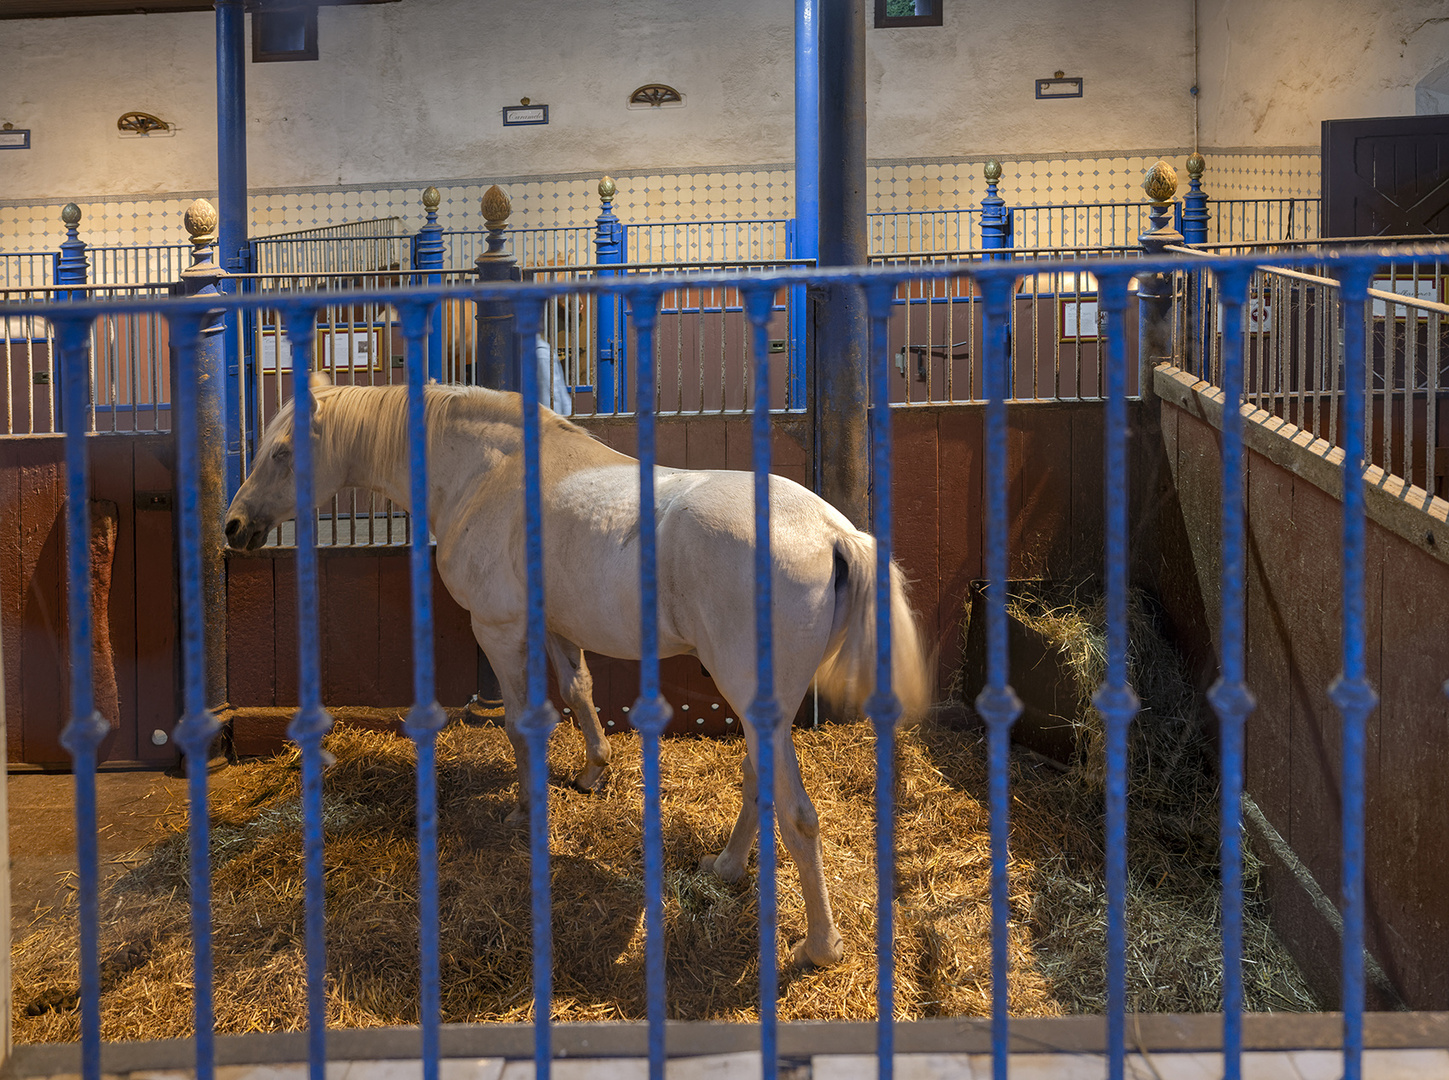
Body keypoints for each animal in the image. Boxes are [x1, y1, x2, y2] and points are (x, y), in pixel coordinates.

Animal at [224, 374, 927, 962]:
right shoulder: (556, 628)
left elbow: (521, 723)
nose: (233, 526)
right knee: (759, 780)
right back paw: (724, 868)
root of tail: (834, 532)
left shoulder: (499, 630)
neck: (487, 475)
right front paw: (592, 772)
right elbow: (580, 692)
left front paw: (523, 812)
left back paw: (819, 946)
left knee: (796, 811)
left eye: (282, 452)